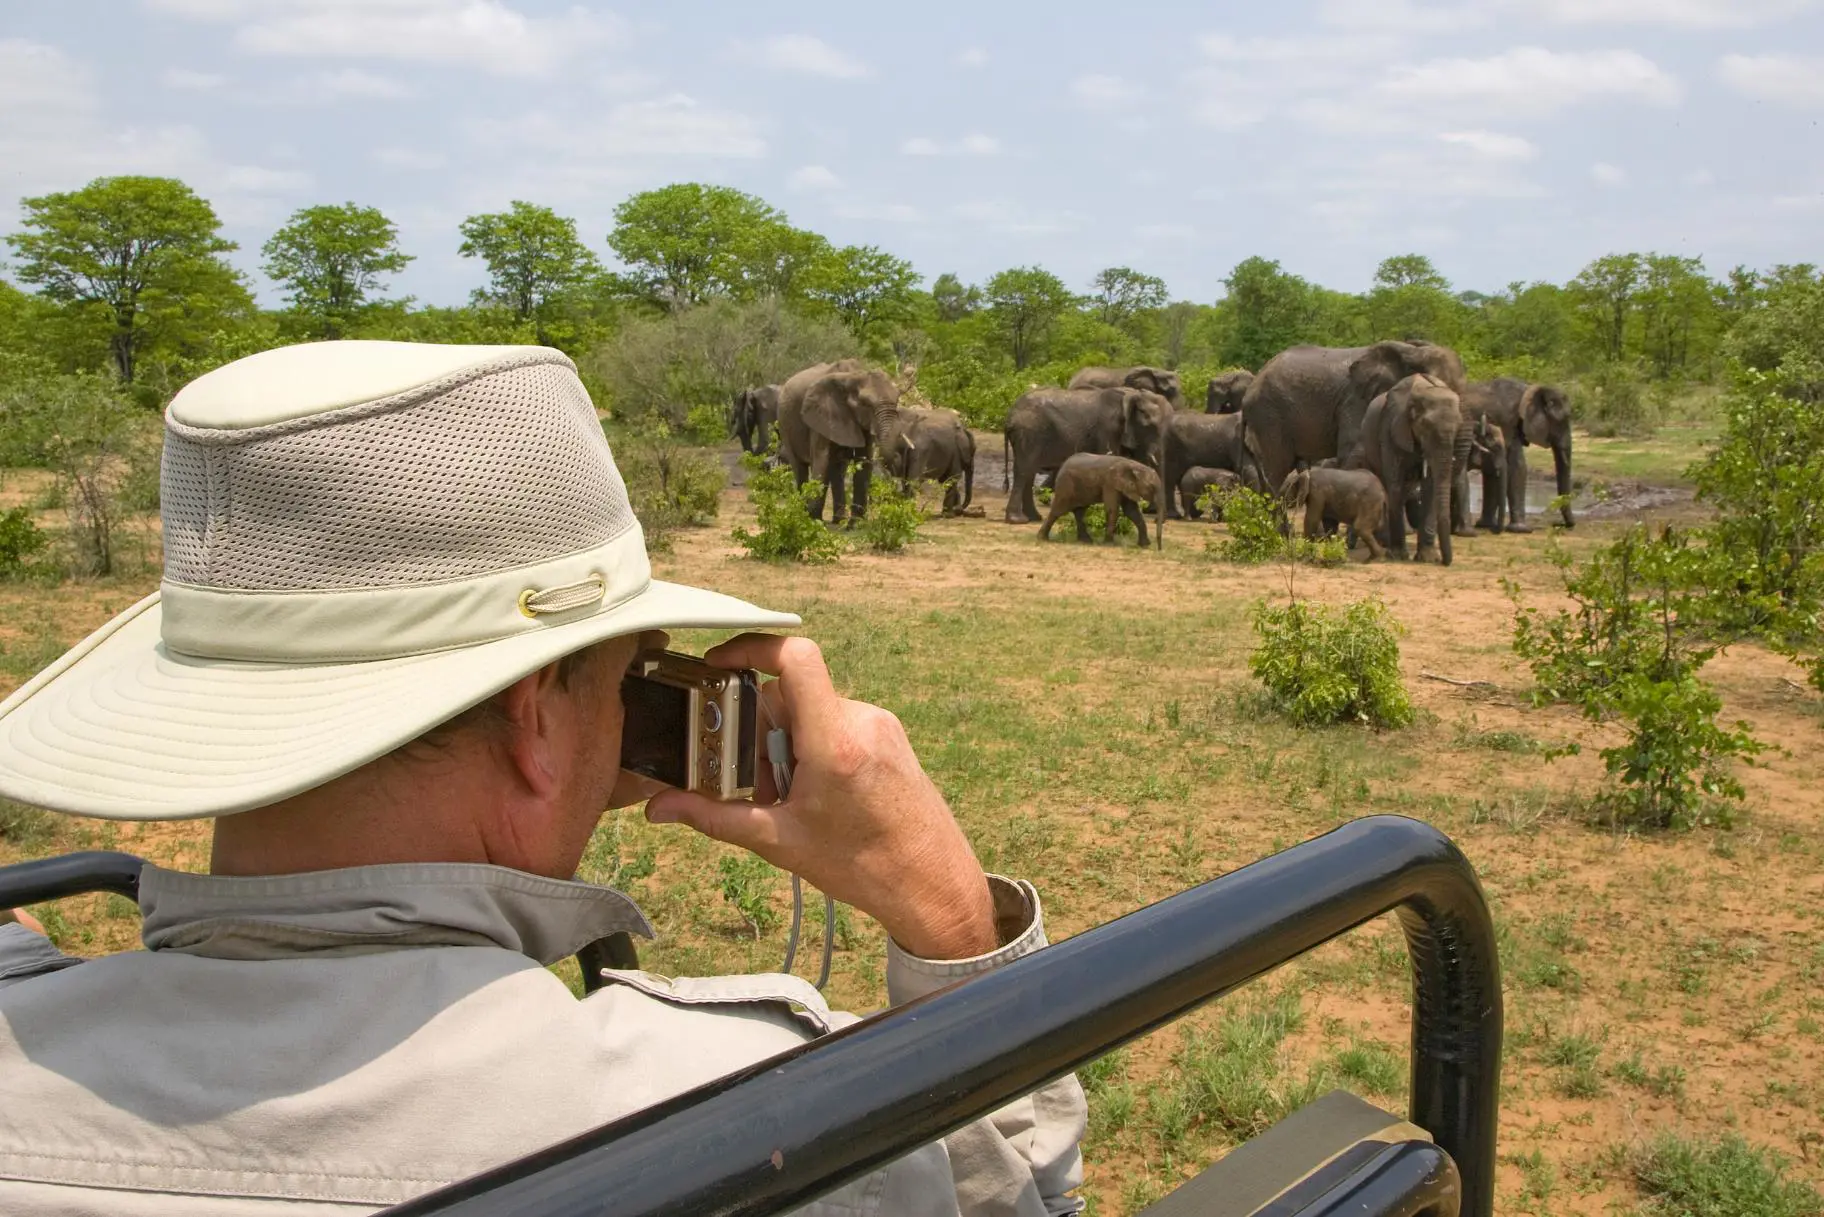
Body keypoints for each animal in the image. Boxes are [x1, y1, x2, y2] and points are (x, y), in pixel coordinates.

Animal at [777, 359, 900, 523]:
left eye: (897, 401)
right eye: (866, 404)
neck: (851, 377)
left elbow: (864, 462)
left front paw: (855, 525)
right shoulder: (820, 415)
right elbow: (820, 459)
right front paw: (814, 522)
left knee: (836, 469)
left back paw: (838, 520)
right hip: (784, 423)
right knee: (800, 466)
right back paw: (804, 515)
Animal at [1001, 387, 1172, 540]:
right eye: (1150, 426)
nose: (1156, 519)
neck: (1133, 394)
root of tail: (1009, 414)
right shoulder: (1108, 430)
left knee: (1029, 471)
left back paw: (1034, 518)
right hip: (1029, 432)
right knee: (1024, 470)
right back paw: (1017, 520)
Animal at [1350, 374, 1467, 565]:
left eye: (1459, 426)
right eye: (1426, 426)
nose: (1445, 562)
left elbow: (1431, 487)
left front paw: (1427, 559)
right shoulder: (1391, 428)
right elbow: (1395, 483)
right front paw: (1397, 556)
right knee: (1386, 486)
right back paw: (1385, 543)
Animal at [1456, 378, 1575, 531]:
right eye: (1563, 420)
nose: (1560, 524)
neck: (1528, 390)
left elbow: (1496, 469)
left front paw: (1485, 525)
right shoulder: (1506, 421)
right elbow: (1517, 466)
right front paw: (1522, 529)